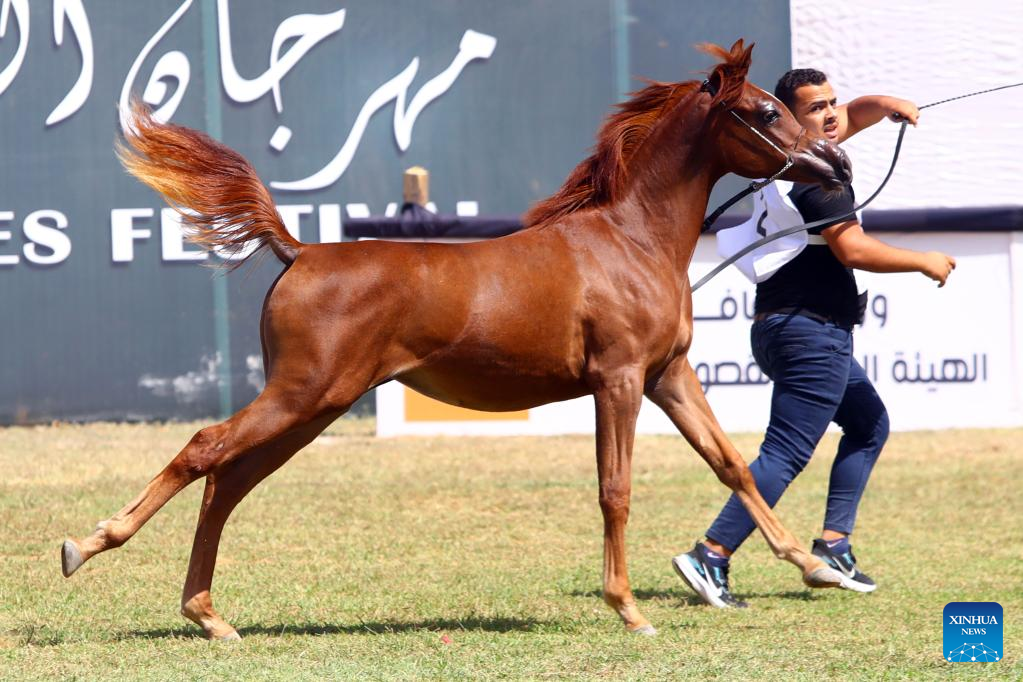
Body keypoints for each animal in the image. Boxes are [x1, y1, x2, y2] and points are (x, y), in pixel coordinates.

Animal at [59, 41, 851, 642]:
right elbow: (615, 490)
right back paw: (86, 546)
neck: (629, 239)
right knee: (205, 450)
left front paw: (814, 566)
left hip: (312, 408)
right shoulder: (619, 380)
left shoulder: (670, 374)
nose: (836, 166)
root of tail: (300, 251)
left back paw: (209, 616)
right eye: (765, 112)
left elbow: (732, 465)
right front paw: (628, 609)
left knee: (228, 480)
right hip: (300, 394)